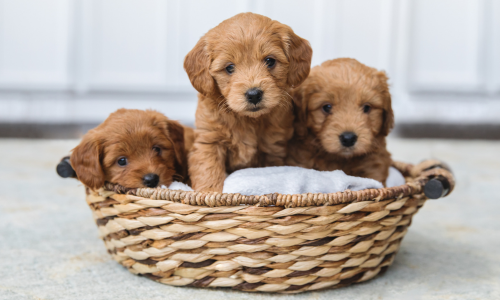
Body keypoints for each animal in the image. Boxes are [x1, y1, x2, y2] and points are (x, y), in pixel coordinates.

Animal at [187, 12, 312, 191]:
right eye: (229, 67)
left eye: (270, 61)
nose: (254, 94)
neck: (248, 120)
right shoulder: (209, 141)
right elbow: (208, 171)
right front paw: (210, 193)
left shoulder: (273, 149)